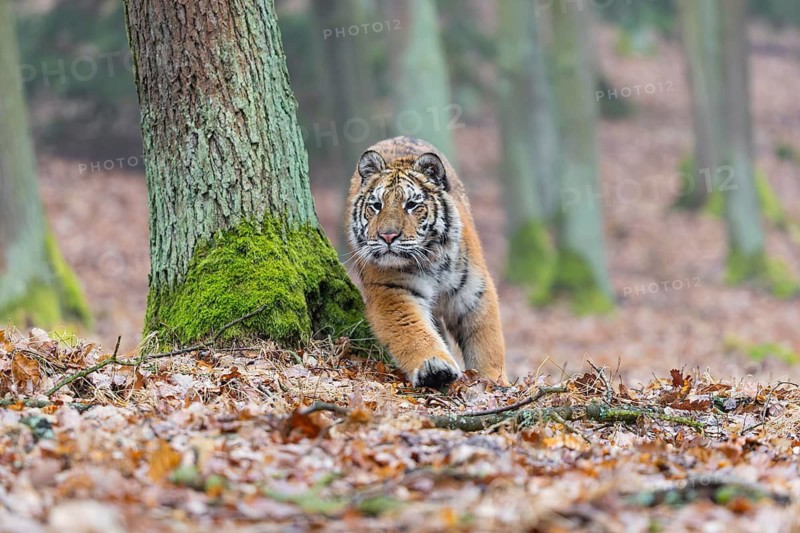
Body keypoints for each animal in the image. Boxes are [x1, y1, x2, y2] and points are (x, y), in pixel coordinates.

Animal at [345, 136, 508, 388]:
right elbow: (413, 332)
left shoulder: (474, 292)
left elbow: (486, 341)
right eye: (376, 206)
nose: (387, 236)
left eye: (411, 205)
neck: (430, 257)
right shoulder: (392, 290)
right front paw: (434, 367)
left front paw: (493, 379)